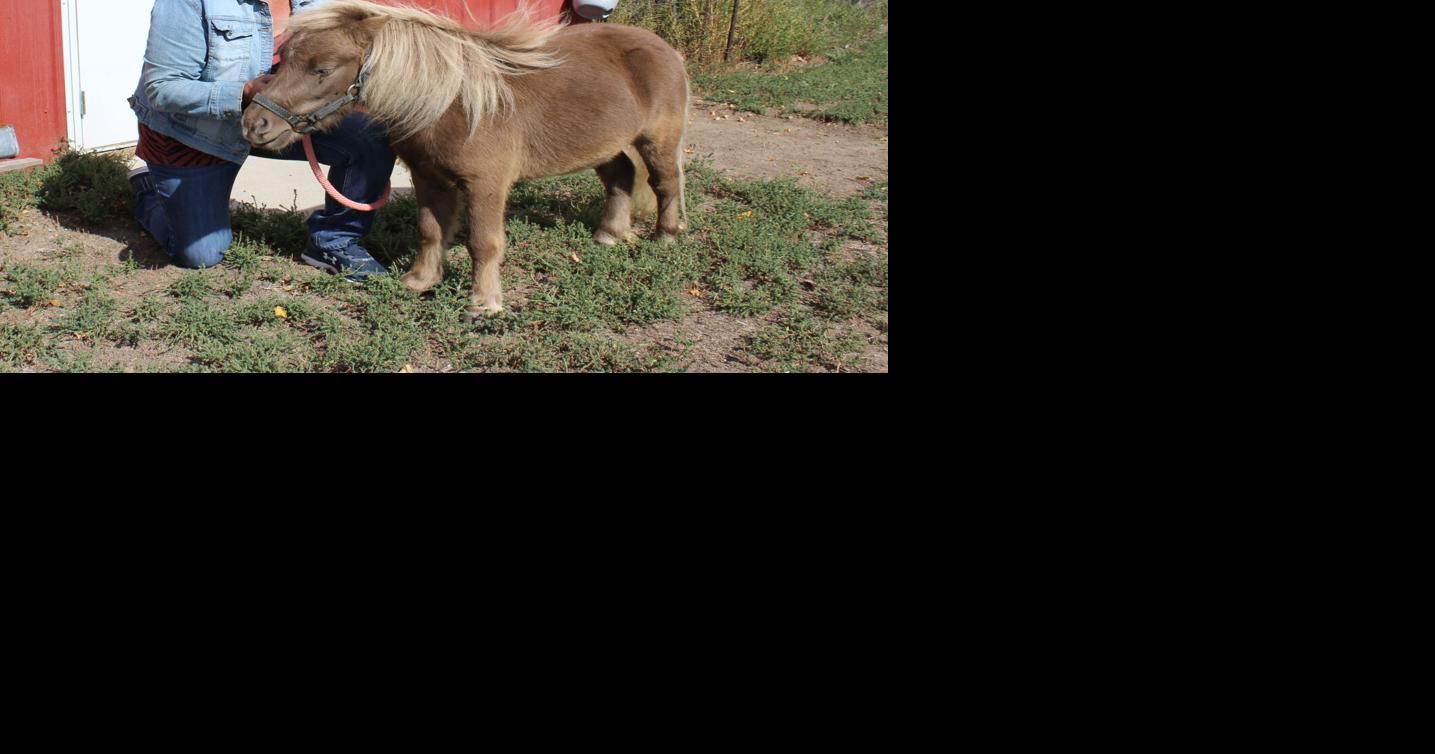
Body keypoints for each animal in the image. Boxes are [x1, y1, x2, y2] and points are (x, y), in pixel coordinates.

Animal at [241, 0, 689, 319]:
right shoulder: (428, 178)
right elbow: (431, 231)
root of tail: (663, 47)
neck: (452, 103)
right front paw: (419, 281)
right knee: (621, 178)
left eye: (323, 69)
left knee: (664, 183)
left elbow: (483, 242)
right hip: (604, 145)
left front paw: (483, 304)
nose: (255, 124)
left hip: (657, 139)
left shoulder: (486, 184)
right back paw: (609, 234)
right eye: (284, 60)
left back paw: (666, 237)